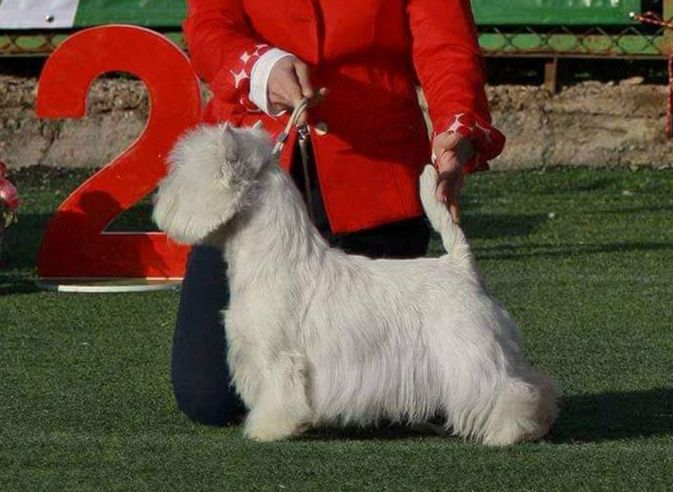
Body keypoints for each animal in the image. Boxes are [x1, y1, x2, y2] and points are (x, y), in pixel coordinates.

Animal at [152, 124, 556, 446]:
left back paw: (510, 431)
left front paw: (267, 428)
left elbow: (278, 393)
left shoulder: (277, 355)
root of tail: (460, 265)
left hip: (467, 350)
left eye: (187, 174)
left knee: (505, 389)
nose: (159, 199)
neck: (273, 257)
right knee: (536, 381)